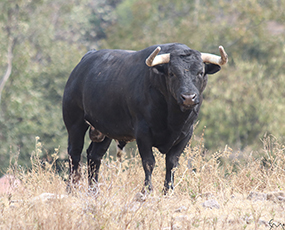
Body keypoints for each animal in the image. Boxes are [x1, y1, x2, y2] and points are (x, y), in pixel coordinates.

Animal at [62, 42, 226, 193]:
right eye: (172, 73)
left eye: (200, 72)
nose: (188, 97)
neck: (173, 118)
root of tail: (85, 60)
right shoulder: (143, 132)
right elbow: (149, 162)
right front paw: (146, 191)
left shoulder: (186, 134)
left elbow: (172, 163)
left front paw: (168, 191)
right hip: (75, 122)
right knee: (74, 154)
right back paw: (72, 189)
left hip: (105, 130)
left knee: (94, 156)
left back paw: (94, 191)